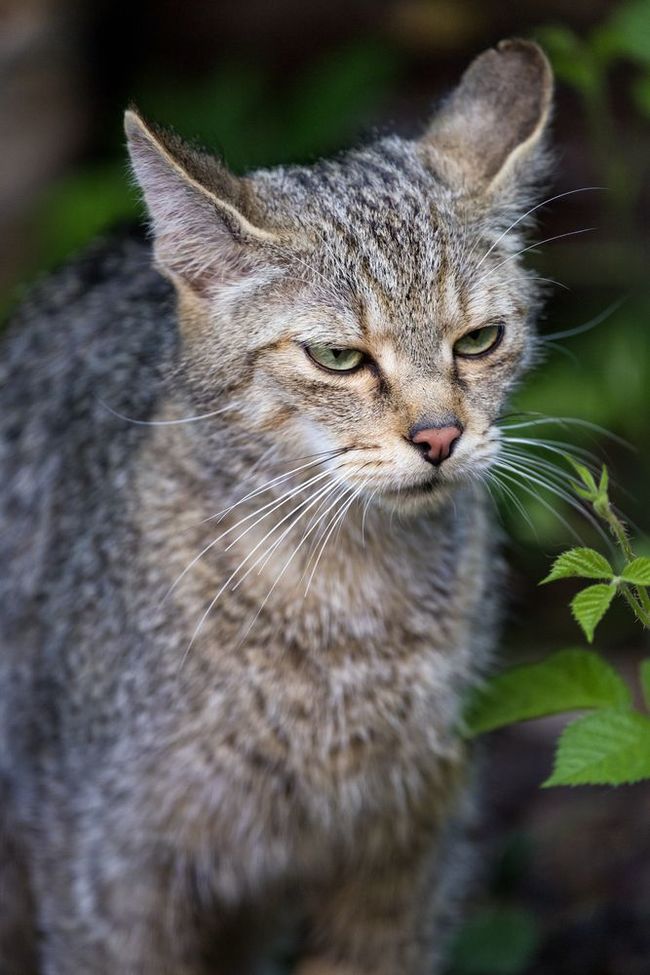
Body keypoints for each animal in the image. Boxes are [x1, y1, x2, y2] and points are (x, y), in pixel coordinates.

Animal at [0, 38, 552, 975]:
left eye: (479, 340)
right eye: (338, 357)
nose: (440, 436)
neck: (346, 602)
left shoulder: (405, 854)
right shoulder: (105, 866)